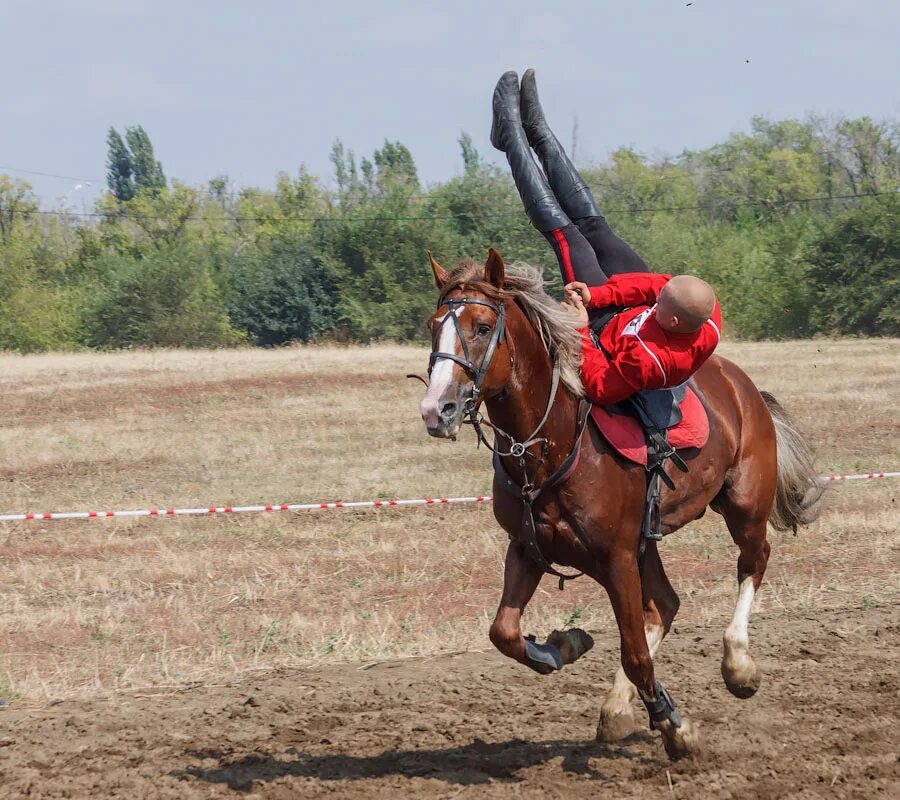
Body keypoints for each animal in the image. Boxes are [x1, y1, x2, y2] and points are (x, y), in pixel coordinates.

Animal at [416, 252, 824, 764]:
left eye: (484, 326)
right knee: (665, 604)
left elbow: (634, 653)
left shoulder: (616, 558)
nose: (438, 409)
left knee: (753, 562)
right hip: (647, 542)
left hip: (744, 504)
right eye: (433, 326)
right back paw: (617, 707)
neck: (552, 443)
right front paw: (565, 645)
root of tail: (744, 387)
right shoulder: (529, 548)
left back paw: (738, 664)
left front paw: (675, 727)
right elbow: (504, 632)